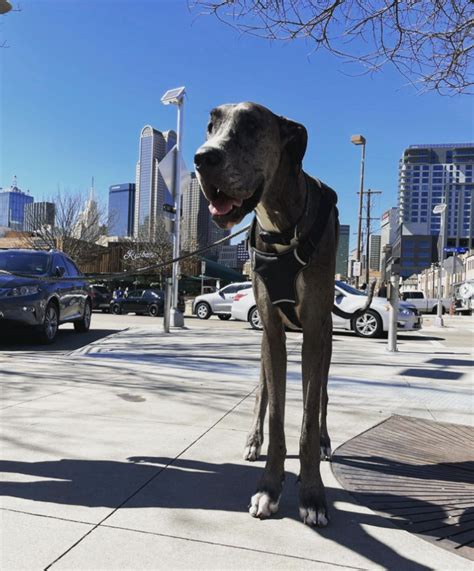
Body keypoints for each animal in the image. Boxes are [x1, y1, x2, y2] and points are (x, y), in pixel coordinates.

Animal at [194, 103, 372, 528]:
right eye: (211, 124)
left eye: (253, 125)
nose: (202, 158)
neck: (280, 225)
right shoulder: (272, 332)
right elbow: (276, 415)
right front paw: (268, 488)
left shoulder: (315, 334)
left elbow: (307, 417)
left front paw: (313, 495)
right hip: (264, 346)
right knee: (261, 393)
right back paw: (253, 440)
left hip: (325, 344)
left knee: (321, 397)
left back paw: (324, 441)